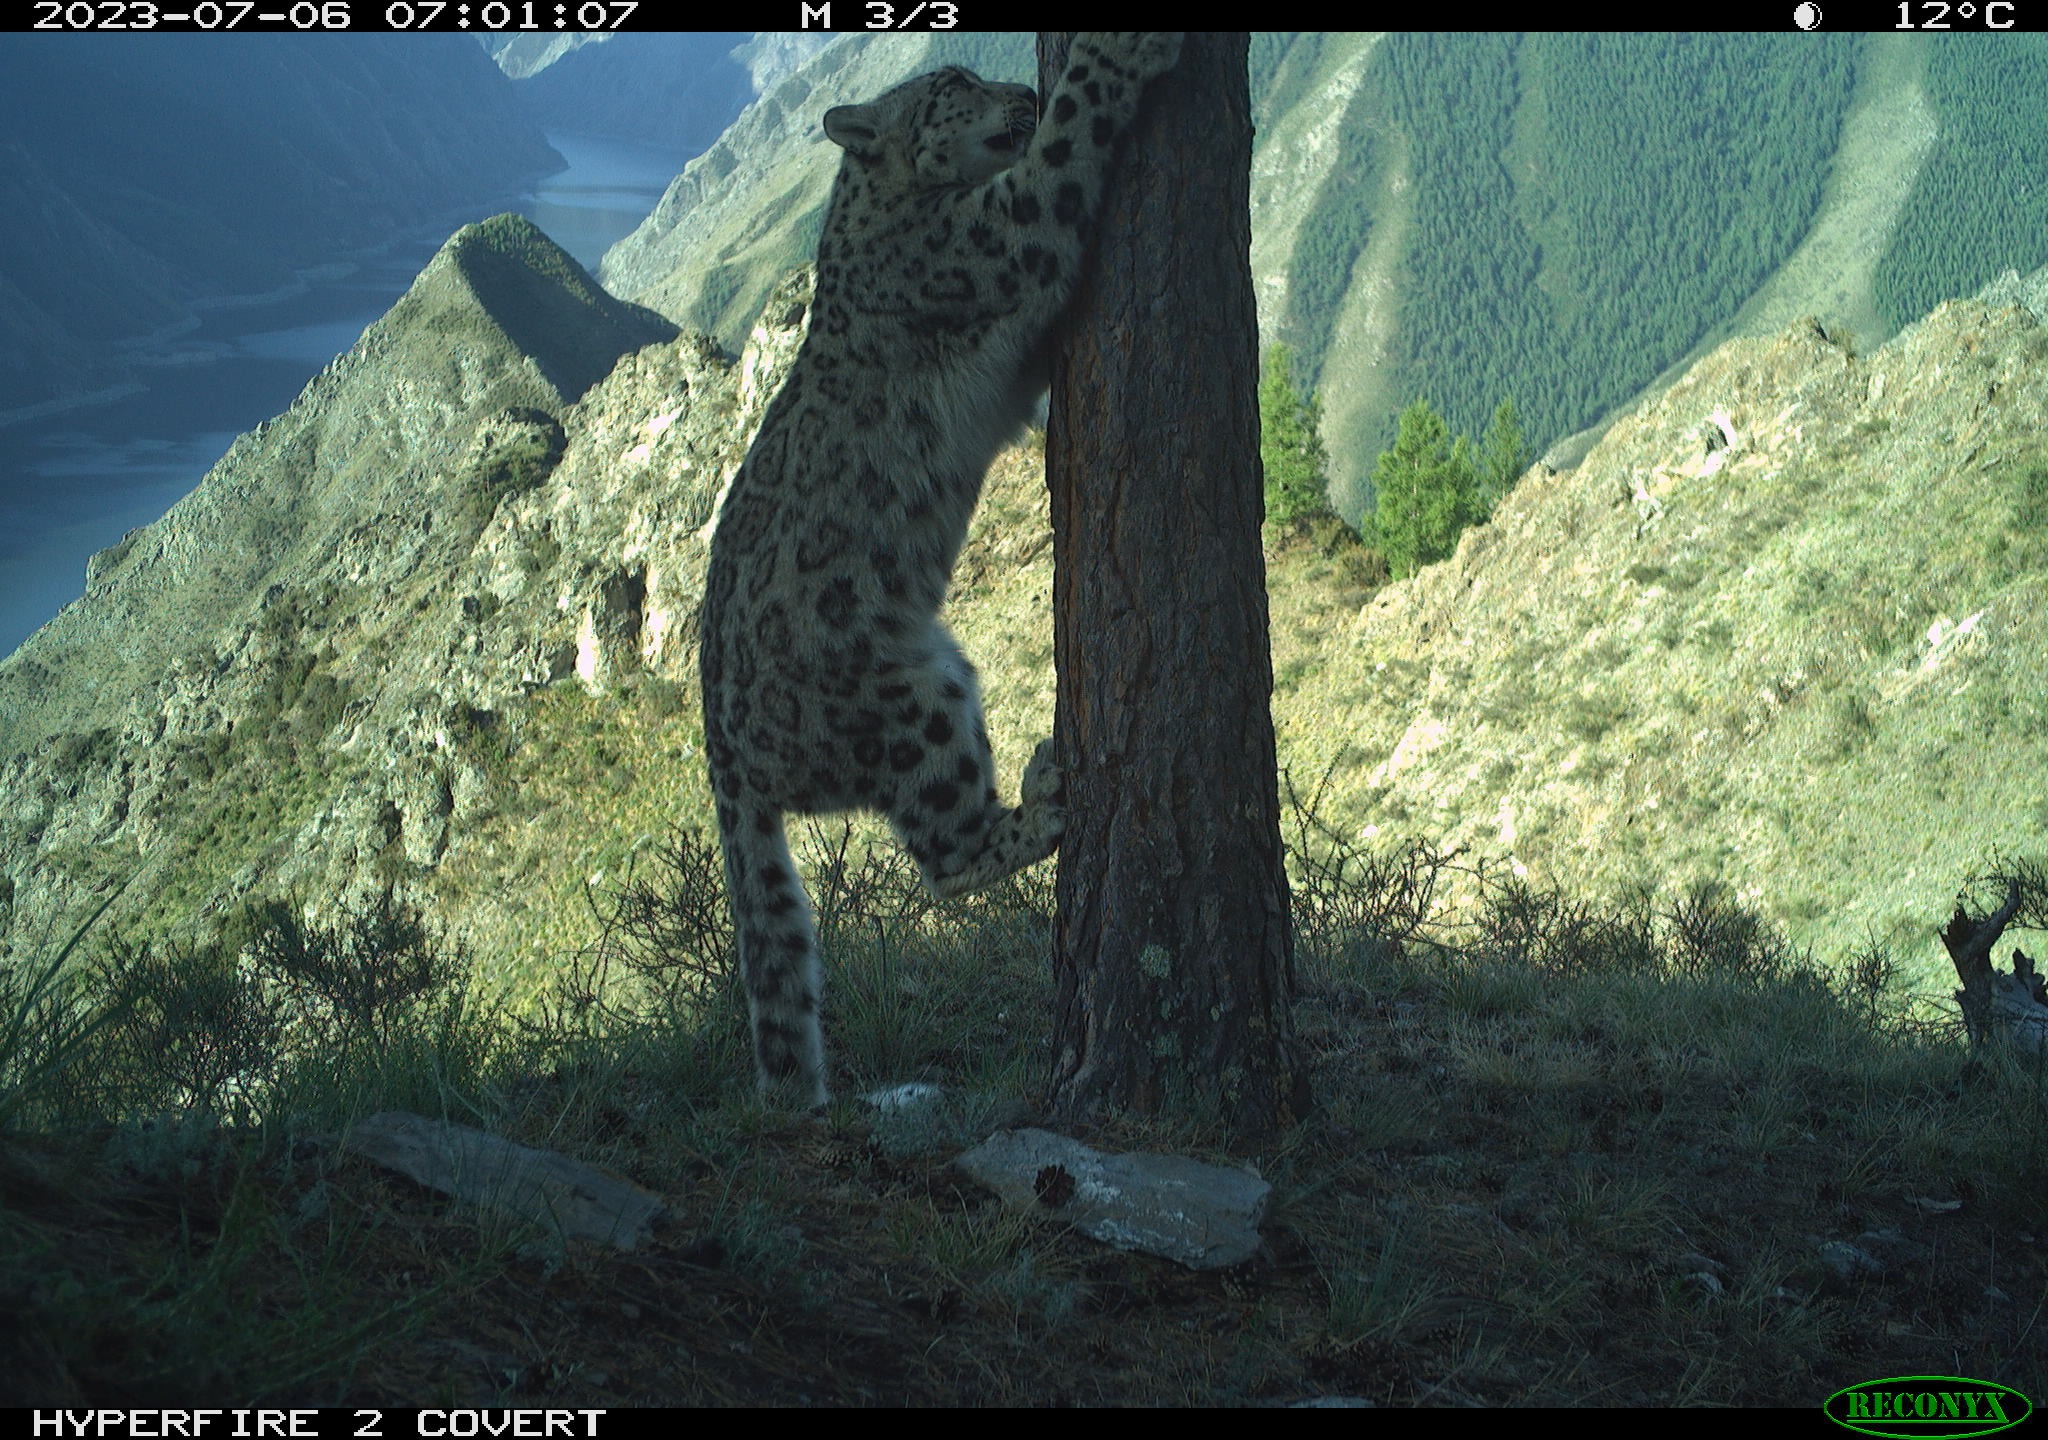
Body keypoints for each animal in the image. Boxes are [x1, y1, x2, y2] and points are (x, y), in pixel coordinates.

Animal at [704, 33, 1187, 1106]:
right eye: (954, 86)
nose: (1017, 88)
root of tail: (723, 752)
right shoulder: (1004, 234)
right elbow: (1065, 145)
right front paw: (1110, 56)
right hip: (913, 697)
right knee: (944, 855)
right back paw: (1045, 799)